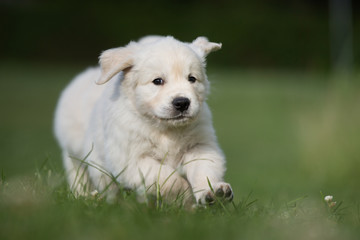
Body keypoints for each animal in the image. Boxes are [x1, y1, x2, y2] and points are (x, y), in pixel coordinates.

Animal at [53, 35, 233, 204]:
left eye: (192, 78)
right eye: (157, 81)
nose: (182, 103)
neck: (165, 129)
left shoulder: (200, 146)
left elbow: (204, 170)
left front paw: (212, 192)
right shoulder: (132, 160)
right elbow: (169, 180)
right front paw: (186, 199)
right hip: (76, 155)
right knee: (83, 177)